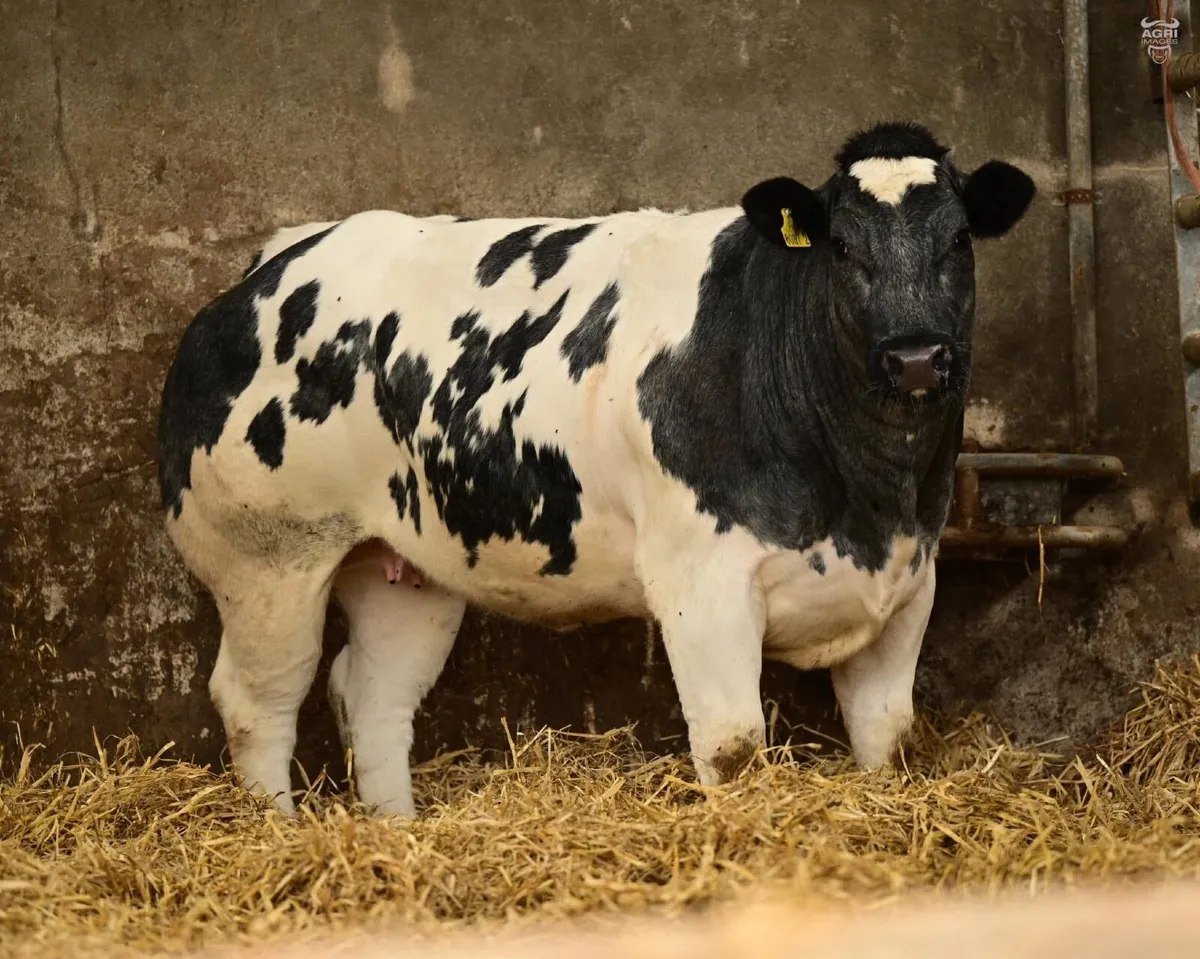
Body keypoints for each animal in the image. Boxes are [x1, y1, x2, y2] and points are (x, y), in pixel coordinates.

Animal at [156, 121, 1035, 816]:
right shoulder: (700, 586)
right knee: (258, 700)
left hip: (406, 567)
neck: (866, 495)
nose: (915, 356)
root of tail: (275, 260)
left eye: (960, 239)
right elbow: (733, 748)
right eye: (843, 246)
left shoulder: (909, 584)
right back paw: (279, 831)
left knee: (370, 694)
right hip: (268, 558)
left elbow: (888, 737)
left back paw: (398, 835)